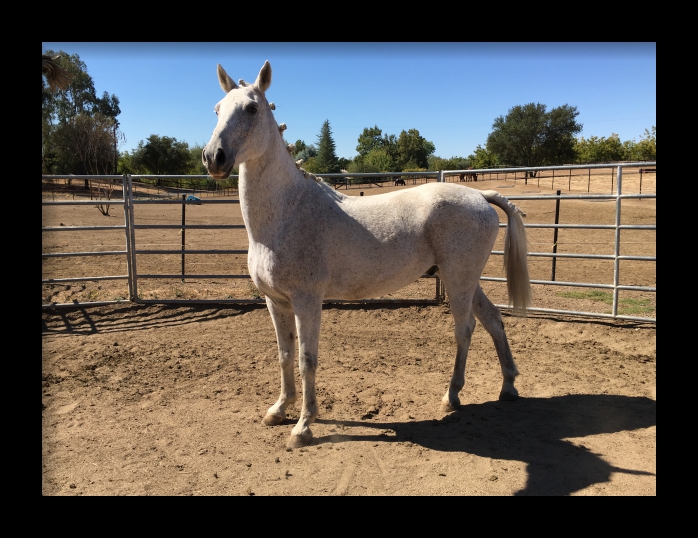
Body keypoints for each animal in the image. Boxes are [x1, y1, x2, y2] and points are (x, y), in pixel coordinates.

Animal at [202, 61, 532, 449]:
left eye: (252, 109)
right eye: (217, 109)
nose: (213, 158)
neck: (288, 213)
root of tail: (480, 196)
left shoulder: (307, 301)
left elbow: (306, 359)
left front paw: (303, 426)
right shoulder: (275, 301)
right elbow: (284, 356)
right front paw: (279, 410)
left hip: (458, 280)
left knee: (465, 329)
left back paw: (451, 397)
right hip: (464, 279)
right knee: (493, 320)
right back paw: (508, 386)